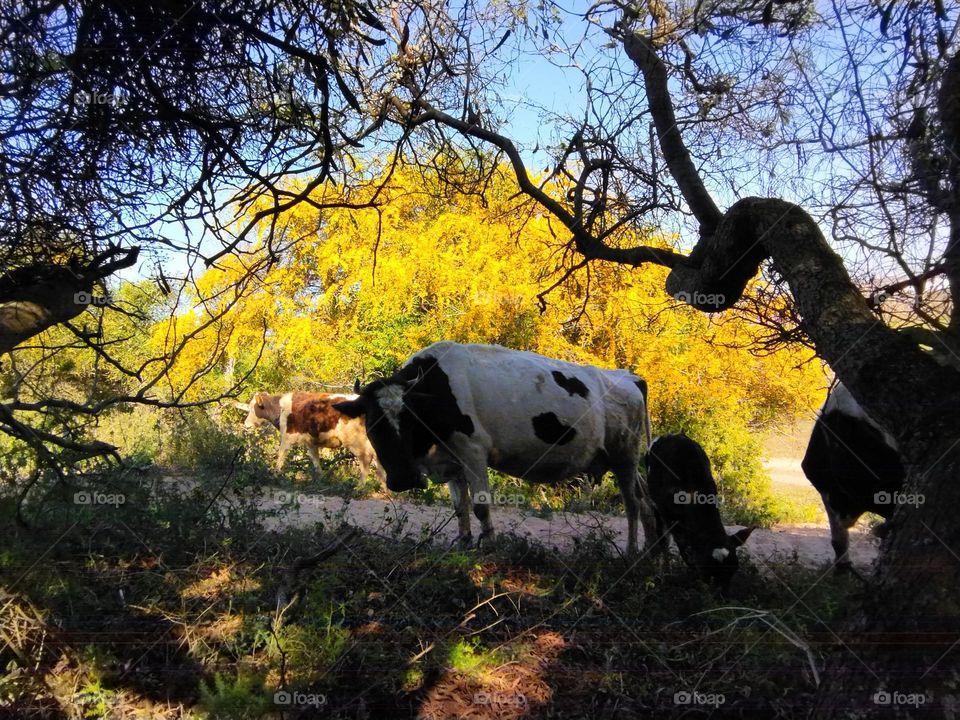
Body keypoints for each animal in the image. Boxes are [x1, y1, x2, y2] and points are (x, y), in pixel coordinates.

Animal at [237, 391, 385, 483]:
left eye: (252, 408)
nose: (246, 424)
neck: (281, 408)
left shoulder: (287, 437)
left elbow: (280, 456)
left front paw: (274, 474)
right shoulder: (311, 442)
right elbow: (315, 460)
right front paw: (321, 479)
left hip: (354, 440)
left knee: (366, 458)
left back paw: (360, 486)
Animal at [332, 341, 658, 553]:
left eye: (411, 419)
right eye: (373, 423)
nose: (404, 480)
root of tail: (628, 376)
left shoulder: (473, 452)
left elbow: (479, 505)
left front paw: (488, 544)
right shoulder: (451, 460)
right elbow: (459, 507)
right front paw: (463, 544)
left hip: (625, 456)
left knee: (632, 503)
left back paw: (631, 551)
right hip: (624, 461)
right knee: (646, 501)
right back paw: (652, 552)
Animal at [646, 434, 754, 592]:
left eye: (733, 570)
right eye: (707, 572)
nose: (722, 596)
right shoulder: (666, 514)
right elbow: (678, 546)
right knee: (662, 537)